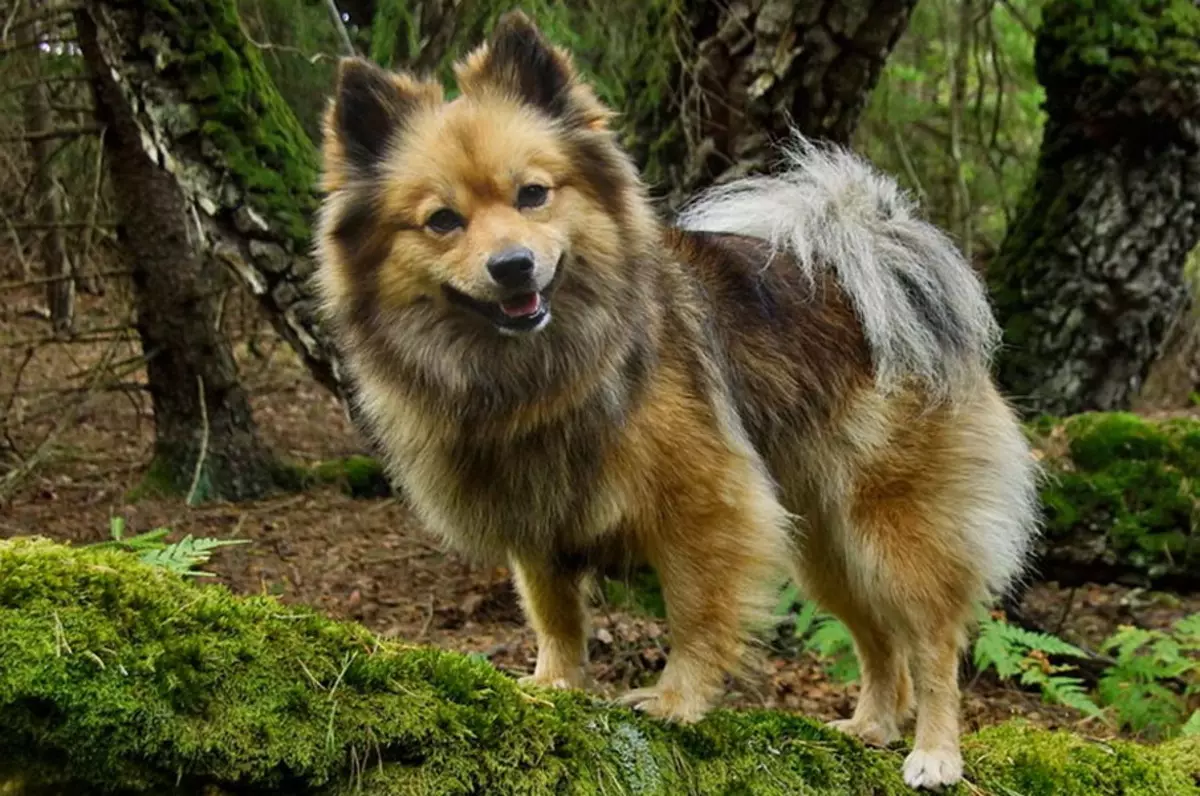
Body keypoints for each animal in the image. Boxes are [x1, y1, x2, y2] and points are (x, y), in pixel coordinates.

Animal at [312, 12, 1041, 792]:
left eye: (534, 195)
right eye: (443, 220)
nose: (512, 266)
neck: (536, 369)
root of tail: (880, 264)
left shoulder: (705, 508)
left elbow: (695, 615)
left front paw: (674, 701)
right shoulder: (537, 515)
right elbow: (555, 614)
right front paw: (554, 686)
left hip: (894, 534)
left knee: (933, 643)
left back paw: (934, 752)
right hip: (827, 548)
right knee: (881, 644)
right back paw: (869, 726)